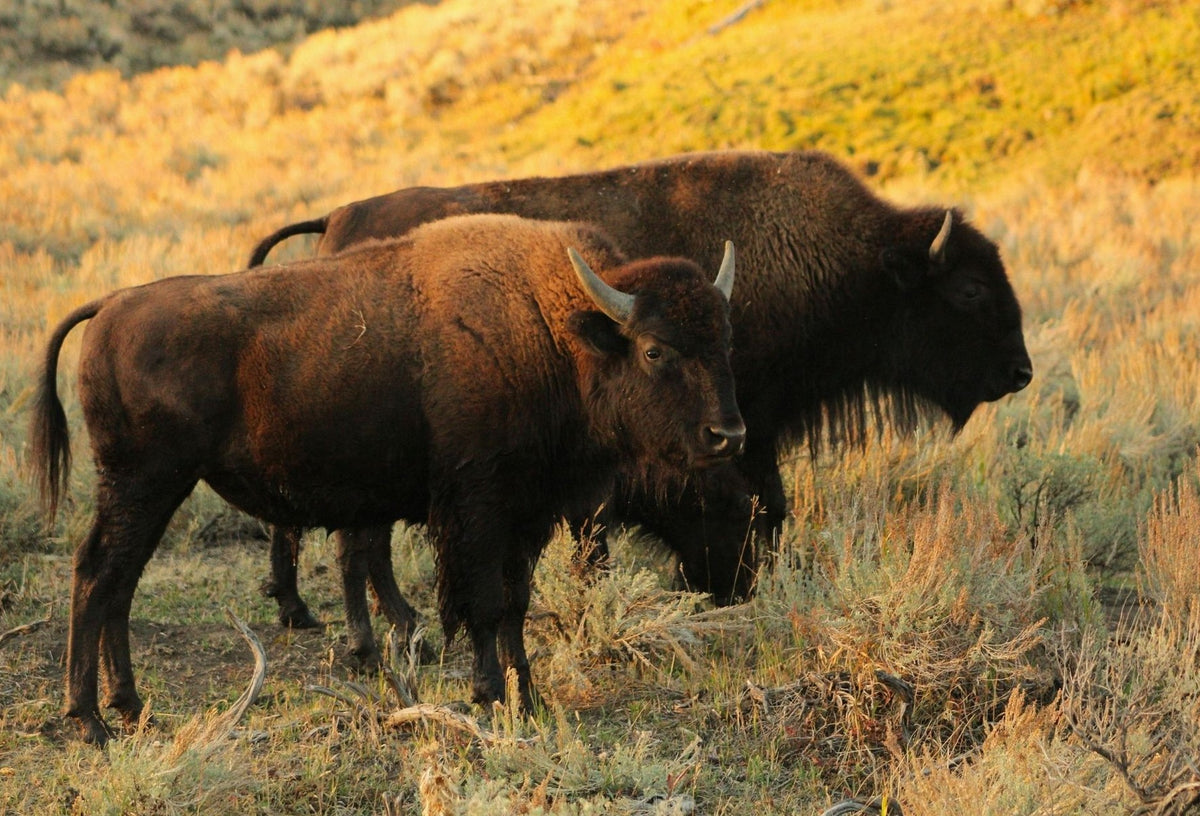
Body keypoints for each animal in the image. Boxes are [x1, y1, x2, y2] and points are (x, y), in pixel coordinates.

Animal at [29, 214, 744, 745]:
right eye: (653, 349)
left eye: (723, 343)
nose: (728, 435)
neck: (550, 328)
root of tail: (111, 306)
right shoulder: (478, 508)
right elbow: (485, 603)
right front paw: (490, 695)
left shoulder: (527, 515)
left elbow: (515, 602)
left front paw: (529, 699)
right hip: (142, 483)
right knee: (96, 574)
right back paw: (90, 721)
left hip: (156, 490)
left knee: (120, 583)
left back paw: (131, 708)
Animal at [250, 149, 1032, 622]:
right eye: (968, 290)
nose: (1020, 372)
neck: (849, 262)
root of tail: (339, 217)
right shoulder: (733, 426)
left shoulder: (742, 429)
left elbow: (767, 502)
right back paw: (326, 613)